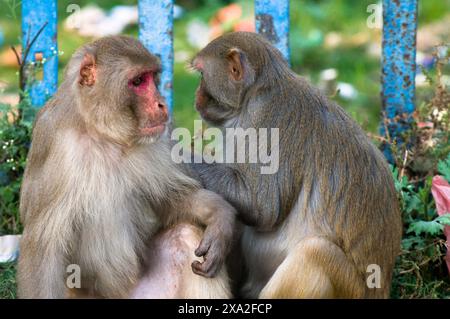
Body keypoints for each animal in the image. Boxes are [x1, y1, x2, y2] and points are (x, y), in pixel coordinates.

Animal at [17, 35, 236, 300]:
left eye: (152, 77)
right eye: (138, 81)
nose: (162, 104)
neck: (102, 132)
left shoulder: (159, 139)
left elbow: (170, 200)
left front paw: (220, 215)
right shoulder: (56, 145)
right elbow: (43, 248)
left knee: (186, 234)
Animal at [192, 32, 402, 300]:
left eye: (201, 75)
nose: (196, 95)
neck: (255, 92)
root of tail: (382, 290)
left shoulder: (265, 120)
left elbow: (263, 207)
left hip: (350, 289)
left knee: (315, 253)